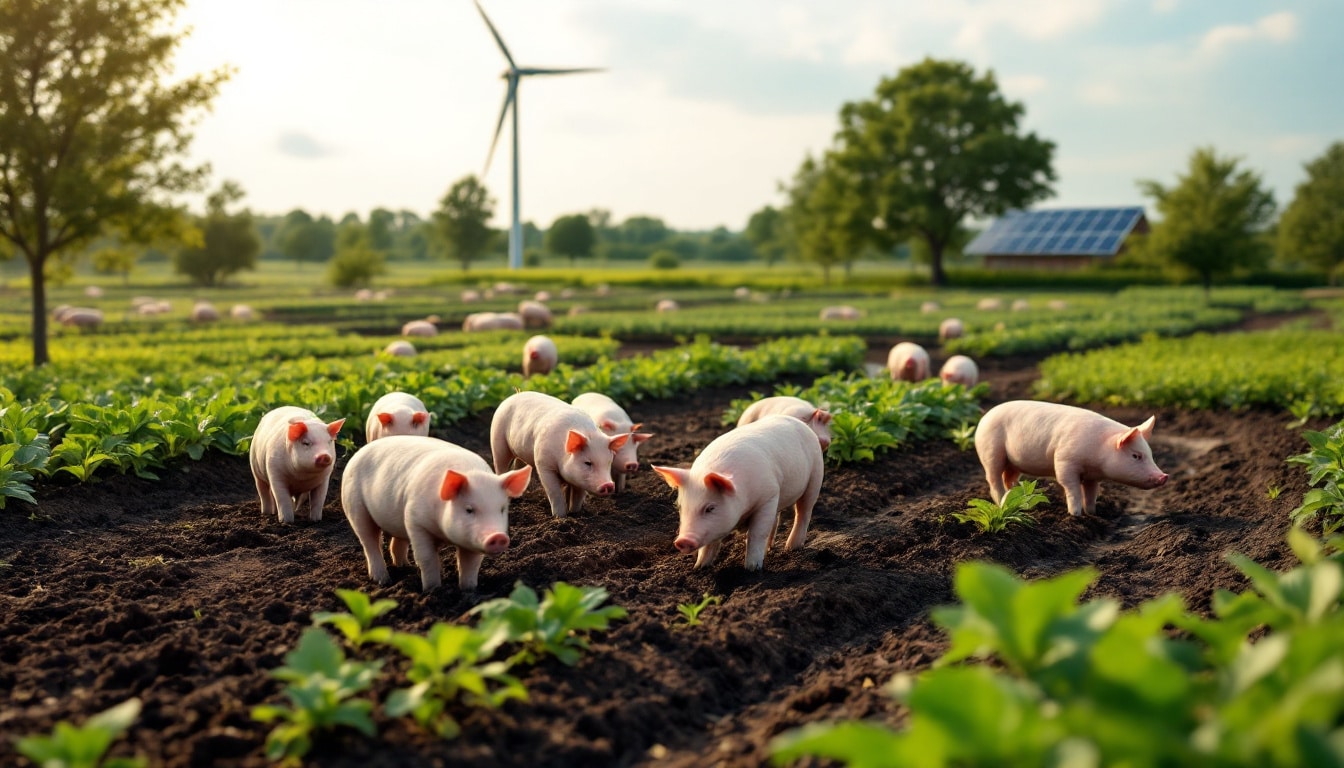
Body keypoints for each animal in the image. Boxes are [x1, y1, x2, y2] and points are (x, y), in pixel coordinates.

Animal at [338, 435, 532, 591]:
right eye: (469, 509)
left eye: (501, 509)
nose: (498, 536)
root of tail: (359, 452)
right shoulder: (415, 521)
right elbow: (427, 559)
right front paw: (432, 590)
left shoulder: (471, 541)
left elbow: (470, 564)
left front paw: (468, 590)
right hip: (354, 505)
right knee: (370, 542)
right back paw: (383, 581)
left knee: (396, 542)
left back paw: (404, 567)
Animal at [491, 392, 631, 519]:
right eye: (587, 462)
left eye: (609, 462)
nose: (608, 485)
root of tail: (515, 394)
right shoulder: (544, 464)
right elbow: (555, 492)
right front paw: (560, 518)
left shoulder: (580, 480)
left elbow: (578, 495)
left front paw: (575, 514)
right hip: (497, 440)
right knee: (500, 466)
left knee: (518, 464)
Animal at [647, 414, 817, 570]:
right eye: (680, 507)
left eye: (710, 508)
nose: (682, 541)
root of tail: (797, 421)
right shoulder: (772, 498)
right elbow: (710, 544)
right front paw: (699, 567)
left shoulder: (769, 495)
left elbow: (757, 533)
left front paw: (752, 569)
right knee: (776, 519)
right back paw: (769, 550)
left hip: (816, 474)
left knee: (803, 512)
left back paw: (791, 548)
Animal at [973, 403, 1171, 516]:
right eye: (1136, 455)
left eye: (1151, 454)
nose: (1164, 477)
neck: (1098, 454)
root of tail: (984, 418)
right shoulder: (1064, 461)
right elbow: (1072, 488)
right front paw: (1075, 515)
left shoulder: (1093, 476)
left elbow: (1091, 493)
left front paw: (1093, 513)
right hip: (991, 452)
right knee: (993, 480)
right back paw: (1002, 503)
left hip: (1013, 462)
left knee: (1009, 479)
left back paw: (1021, 501)